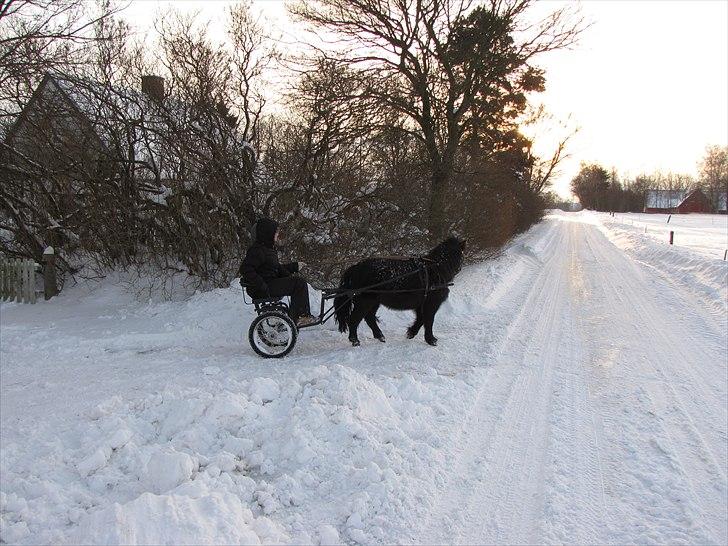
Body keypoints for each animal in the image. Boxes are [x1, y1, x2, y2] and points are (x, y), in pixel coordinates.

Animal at [334, 236, 466, 346]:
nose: (459, 268)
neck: (435, 269)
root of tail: (356, 268)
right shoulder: (431, 303)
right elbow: (428, 320)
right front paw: (431, 340)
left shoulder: (421, 304)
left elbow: (421, 319)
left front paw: (411, 333)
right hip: (365, 302)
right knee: (354, 319)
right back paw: (355, 340)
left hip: (374, 302)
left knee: (369, 318)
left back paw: (380, 336)